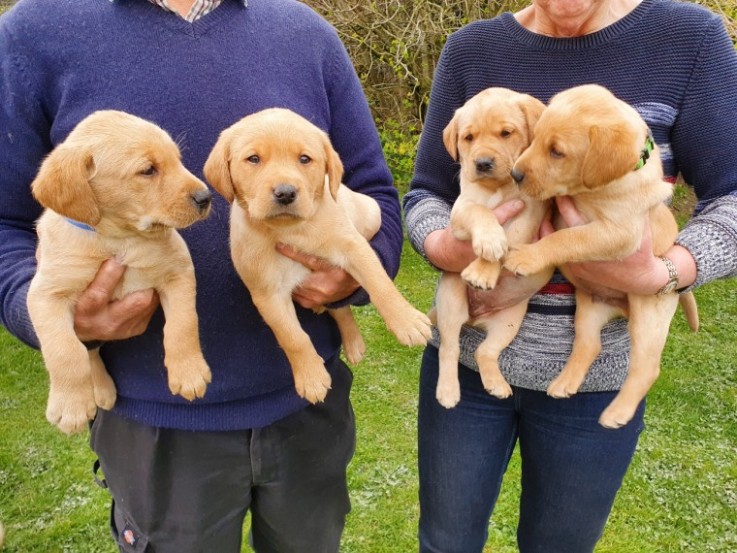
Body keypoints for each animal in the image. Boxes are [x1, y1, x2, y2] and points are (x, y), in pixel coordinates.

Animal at [27, 110, 211, 434]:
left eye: (177, 160)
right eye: (148, 170)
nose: (206, 197)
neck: (119, 240)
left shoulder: (179, 272)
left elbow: (183, 325)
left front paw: (189, 372)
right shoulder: (45, 294)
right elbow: (65, 351)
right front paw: (70, 405)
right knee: (88, 351)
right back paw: (99, 390)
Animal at [203, 109, 432, 402]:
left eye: (304, 159)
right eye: (253, 159)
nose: (285, 192)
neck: (289, 230)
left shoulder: (354, 248)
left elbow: (380, 285)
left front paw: (407, 322)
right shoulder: (267, 293)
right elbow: (293, 337)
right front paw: (311, 377)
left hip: (370, 211)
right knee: (338, 309)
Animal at [432, 87, 552, 406]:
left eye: (506, 133)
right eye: (468, 138)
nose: (482, 163)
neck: (497, 188)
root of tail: (474, 320)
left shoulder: (530, 211)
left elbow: (512, 238)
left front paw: (485, 270)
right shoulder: (461, 210)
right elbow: (481, 213)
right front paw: (488, 246)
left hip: (509, 321)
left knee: (483, 351)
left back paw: (497, 384)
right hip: (450, 302)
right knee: (449, 349)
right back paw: (448, 391)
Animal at [504, 84, 700, 426]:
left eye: (557, 151)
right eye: (535, 137)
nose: (515, 174)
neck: (595, 191)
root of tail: (620, 308)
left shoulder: (619, 233)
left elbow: (566, 237)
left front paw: (527, 257)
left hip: (649, 315)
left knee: (646, 368)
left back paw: (617, 413)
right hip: (588, 307)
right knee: (589, 344)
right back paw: (564, 383)